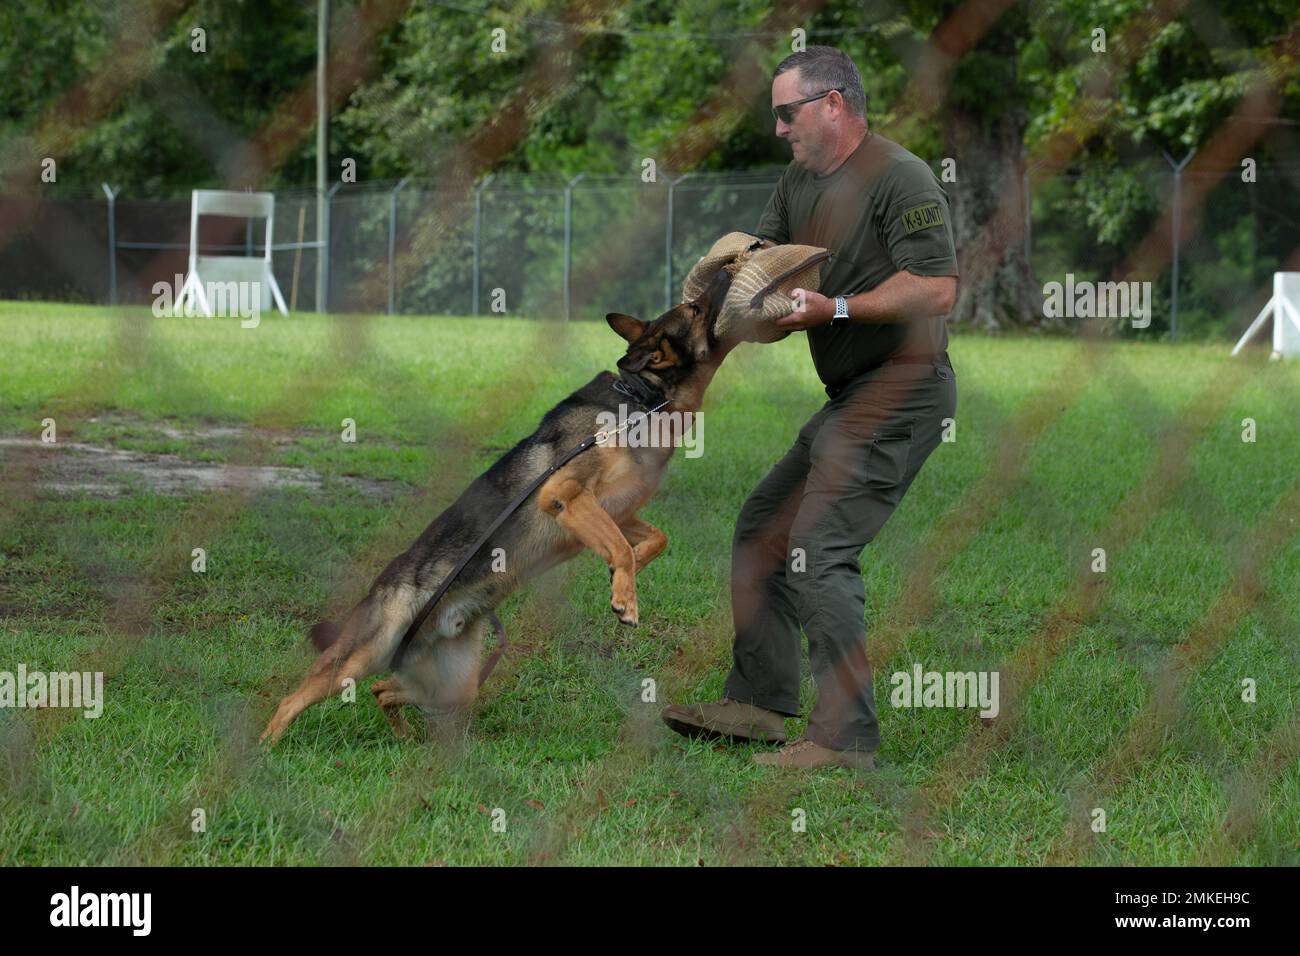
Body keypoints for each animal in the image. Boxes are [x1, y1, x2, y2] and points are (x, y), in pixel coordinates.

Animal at [258, 269, 738, 749]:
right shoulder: (564, 494)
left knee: (382, 690)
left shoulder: (616, 511)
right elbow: (619, 545)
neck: (643, 398)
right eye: (695, 308)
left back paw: (403, 736)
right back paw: (262, 749)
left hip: (454, 685)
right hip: (362, 655)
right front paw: (625, 597)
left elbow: (654, 538)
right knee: (293, 699)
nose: (727, 271)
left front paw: (629, 573)